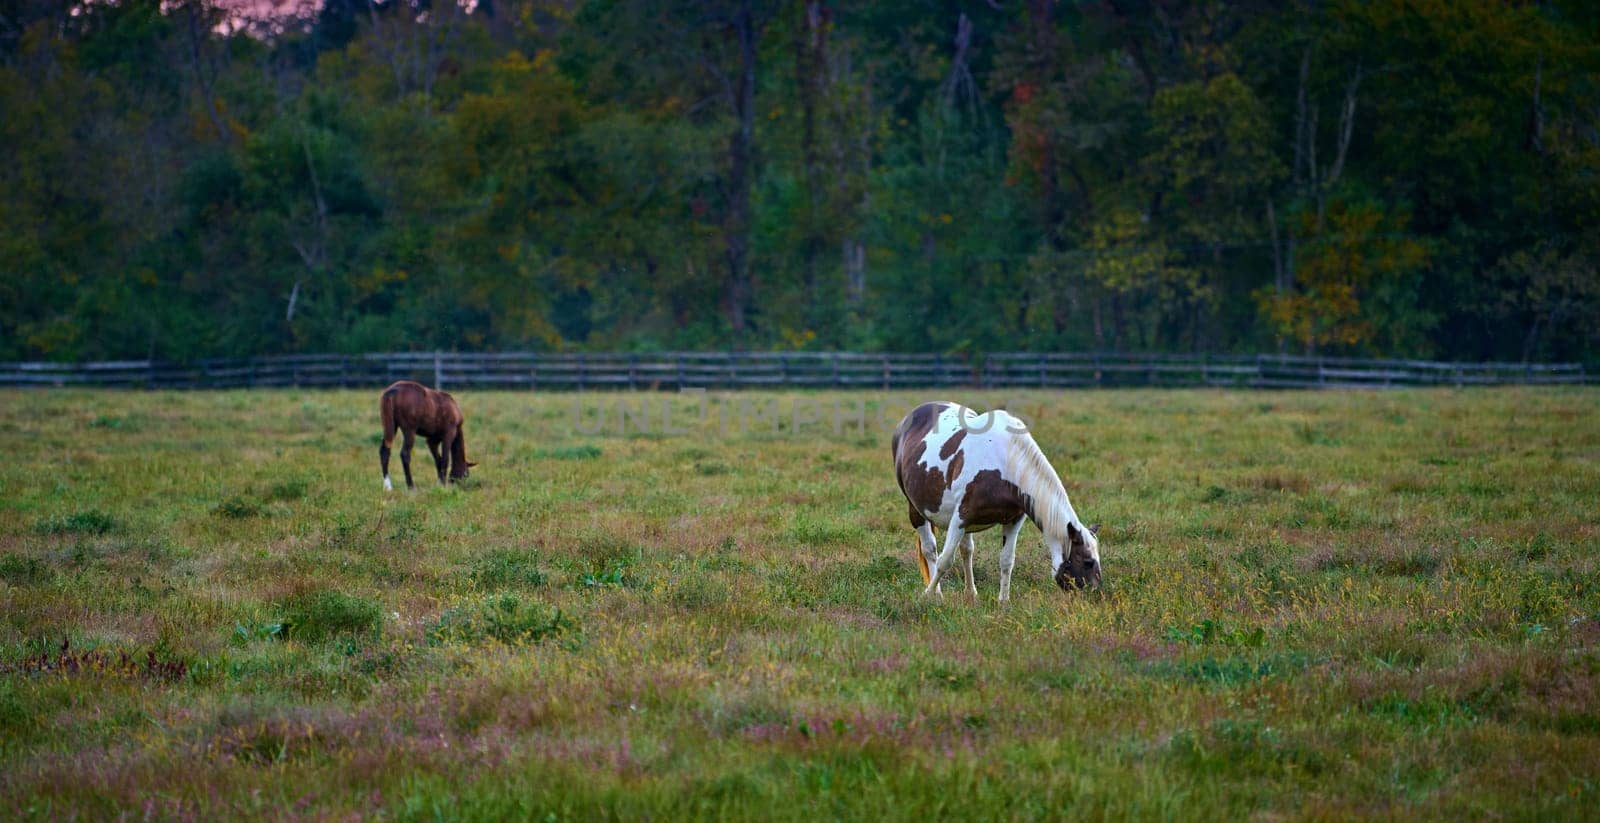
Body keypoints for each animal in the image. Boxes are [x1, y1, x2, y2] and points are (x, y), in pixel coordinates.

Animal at [889, 400, 1100, 598]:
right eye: (1088, 562)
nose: (1097, 594)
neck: (1003, 463)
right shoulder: (960, 518)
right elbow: (945, 560)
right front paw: (928, 595)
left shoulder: (1013, 520)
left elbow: (1006, 561)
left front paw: (1003, 602)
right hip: (916, 510)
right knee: (930, 550)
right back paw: (938, 594)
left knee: (967, 550)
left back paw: (971, 593)